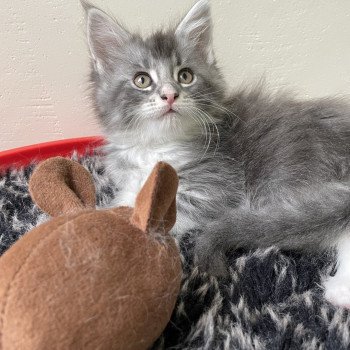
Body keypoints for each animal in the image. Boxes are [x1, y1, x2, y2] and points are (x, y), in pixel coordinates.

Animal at [82, 0, 350, 306]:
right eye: (142, 80)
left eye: (185, 76)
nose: (170, 94)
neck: (158, 145)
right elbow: (126, 199)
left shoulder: (214, 188)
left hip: (290, 175)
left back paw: (341, 290)